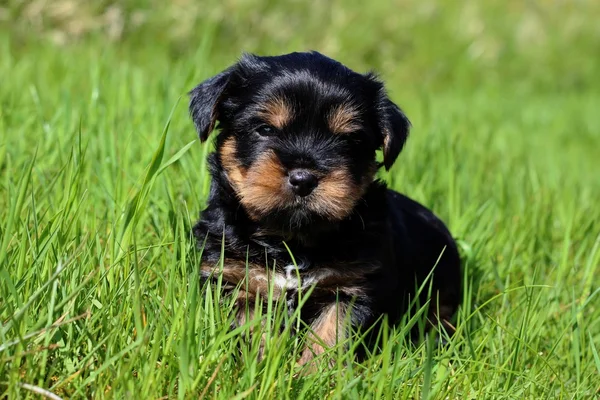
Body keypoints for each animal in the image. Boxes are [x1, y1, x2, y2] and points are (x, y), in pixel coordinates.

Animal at [190, 50, 462, 366]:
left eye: (348, 139)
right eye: (265, 129)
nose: (303, 178)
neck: (290, 243)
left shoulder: (351, 288)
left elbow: (331, 335)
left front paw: (315, 373)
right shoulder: (234, 278)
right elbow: (252, 330)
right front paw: (261, 366)